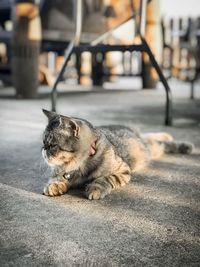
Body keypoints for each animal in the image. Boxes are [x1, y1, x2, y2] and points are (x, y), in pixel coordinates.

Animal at [42, 109, 194, 201]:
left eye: (52, 145)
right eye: (43, 143)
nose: (43, 151)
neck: (78, 166)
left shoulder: (122, 170)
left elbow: (105, 178)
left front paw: (95, 188)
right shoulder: (58, 172)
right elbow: (56, 178)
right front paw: (55, 185)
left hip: (149, 150)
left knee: (160, 142)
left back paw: (184, 145)